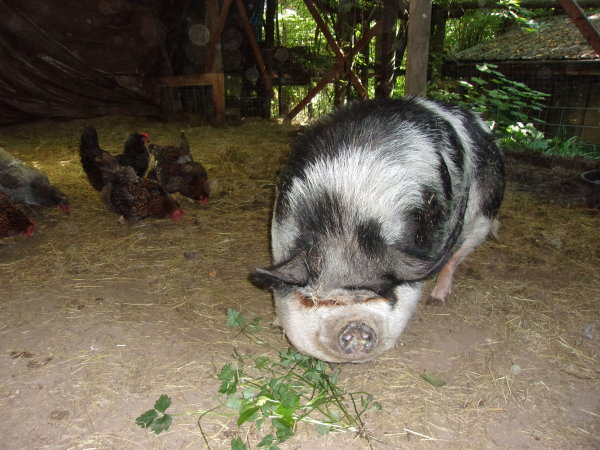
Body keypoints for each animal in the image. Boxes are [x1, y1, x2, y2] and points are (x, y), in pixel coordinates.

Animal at [253, 97, 505, 363]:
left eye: (382, 293)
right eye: (319, 300)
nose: (355, 326)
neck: (345, 213)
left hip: (486, 211)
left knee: (457, 254)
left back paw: (436, 299)